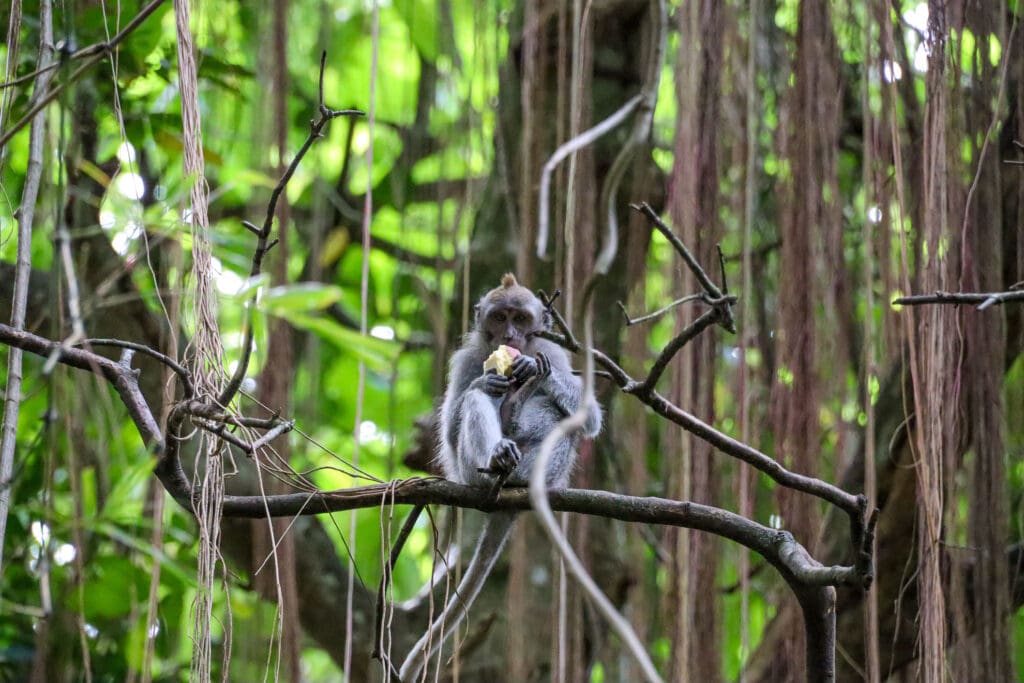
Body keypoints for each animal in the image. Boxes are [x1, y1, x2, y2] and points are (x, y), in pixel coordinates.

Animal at [398, 273, 601, 682]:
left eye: (521, 319)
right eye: (500, 317)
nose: (509, 335)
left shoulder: (555, 352)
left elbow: (588, 419)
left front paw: (533, 371)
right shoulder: (465, 360)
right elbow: (450, 429)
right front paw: (486, 386)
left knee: (562, 422)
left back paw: (522, 456)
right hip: (467, 469)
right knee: (476, 411)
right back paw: (498, 457)